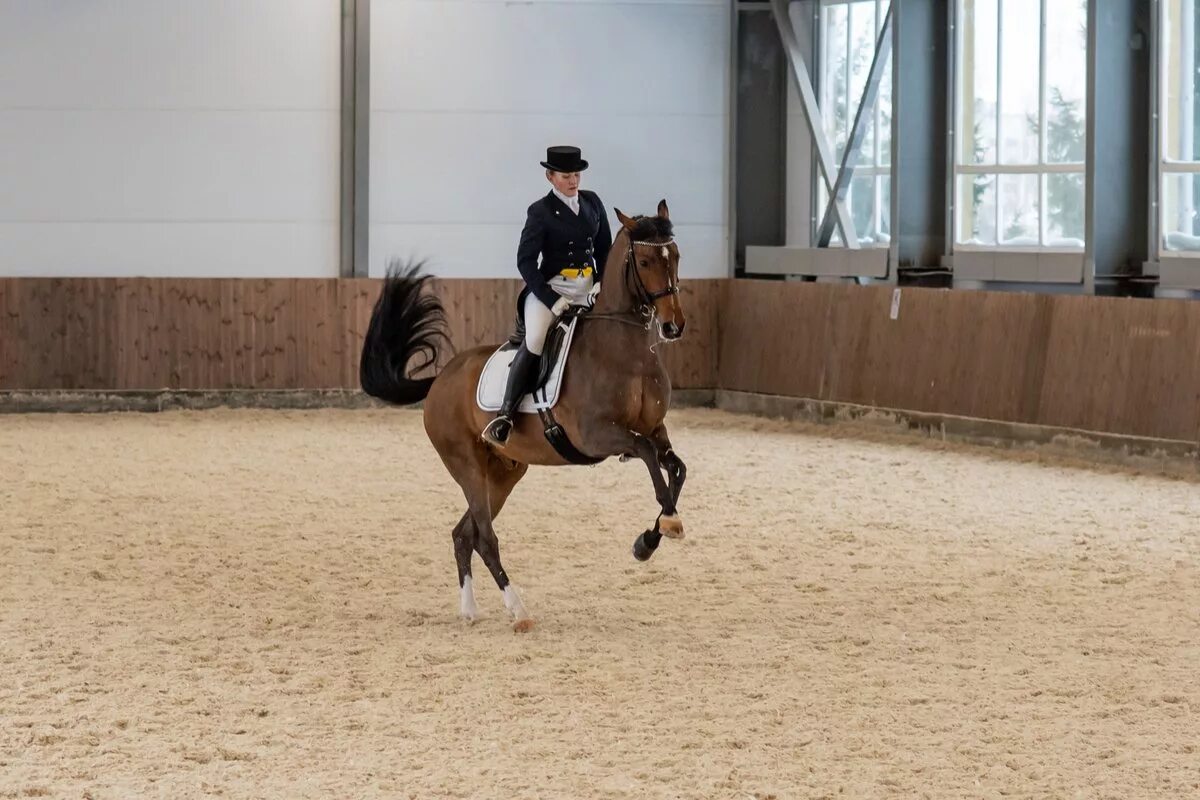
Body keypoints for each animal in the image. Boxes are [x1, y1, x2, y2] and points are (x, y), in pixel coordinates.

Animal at [357, 199, 686, 633]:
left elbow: (675, 467)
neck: (626, 352)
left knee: (464, 534)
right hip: (467, 466)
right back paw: (518, 611)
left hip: (504, 473)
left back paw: (470, 610)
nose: (672, 326)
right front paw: (663, 527)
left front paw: (652, 536)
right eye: (645, 260)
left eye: (676, 256)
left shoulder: (654, 428)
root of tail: (441, 378)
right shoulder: (597, 435)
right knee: (485, 537)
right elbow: (647, 454)